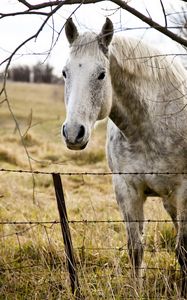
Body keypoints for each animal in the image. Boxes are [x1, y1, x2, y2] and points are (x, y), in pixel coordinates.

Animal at [62, 18, 187, 298]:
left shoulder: (184, 190)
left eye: (101, 74)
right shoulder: (126, 189)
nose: (73, 132)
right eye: (65, 73)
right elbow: (135, 249)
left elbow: (183, 250)